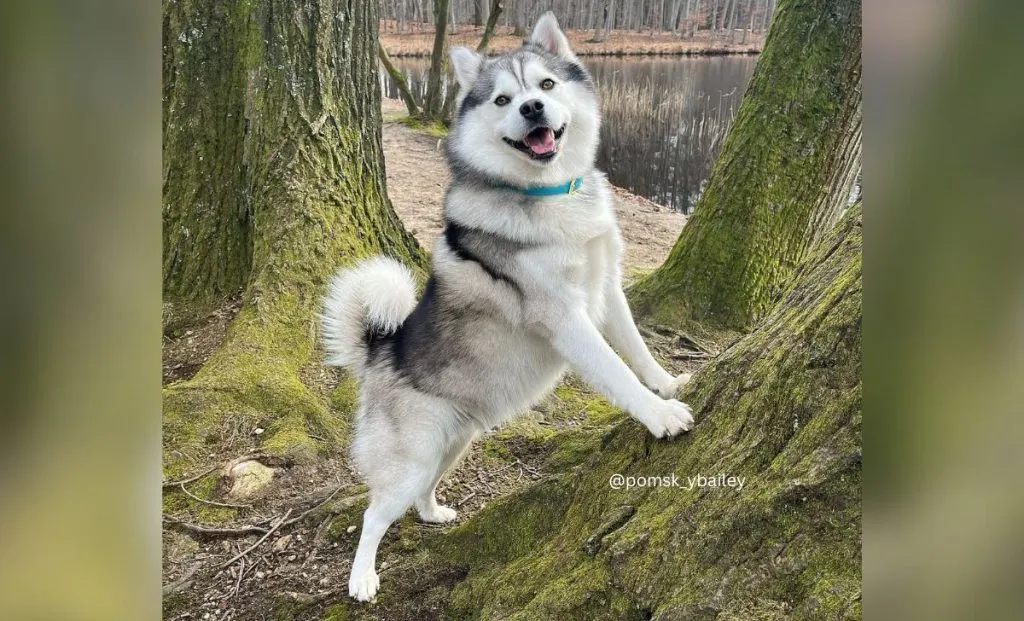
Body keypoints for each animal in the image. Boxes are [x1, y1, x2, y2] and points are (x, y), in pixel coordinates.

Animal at [323, 10, 692, 602]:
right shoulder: (566, 318)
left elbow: (636, 349)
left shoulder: (608, 289)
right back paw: (362, 577)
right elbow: (615, 371)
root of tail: (381, 348)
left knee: (421, 492)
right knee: (373, 516)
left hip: (453, 443)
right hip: (412, 458)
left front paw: (667, 383)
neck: (550, 194)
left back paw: (433, 514)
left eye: (546, 85)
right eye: (502, 99)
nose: (532, 108)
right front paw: (658, 415)